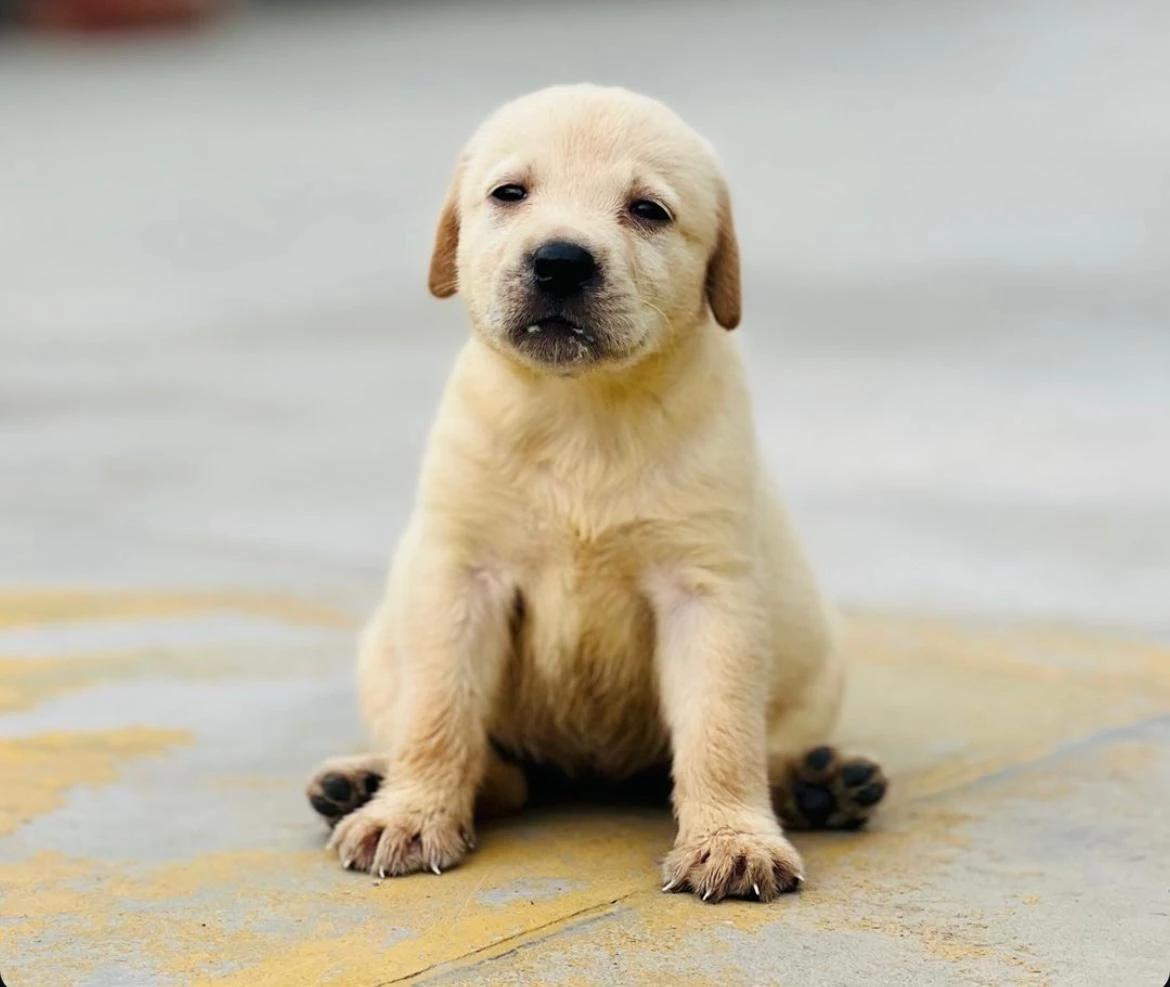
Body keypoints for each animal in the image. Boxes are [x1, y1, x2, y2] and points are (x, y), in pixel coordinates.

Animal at [311, 84, 884, 902]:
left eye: (648, 209)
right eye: (510, 193)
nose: (559, 261)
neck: (583, 410)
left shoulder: (706, 590)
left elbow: (720, 729)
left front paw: (731, 838)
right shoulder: (460, 575)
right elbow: (439, 712)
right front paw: (412, 813)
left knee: (759, 747)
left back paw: (818, 783)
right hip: (381, 651)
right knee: (493, 767)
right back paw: (365, 782)